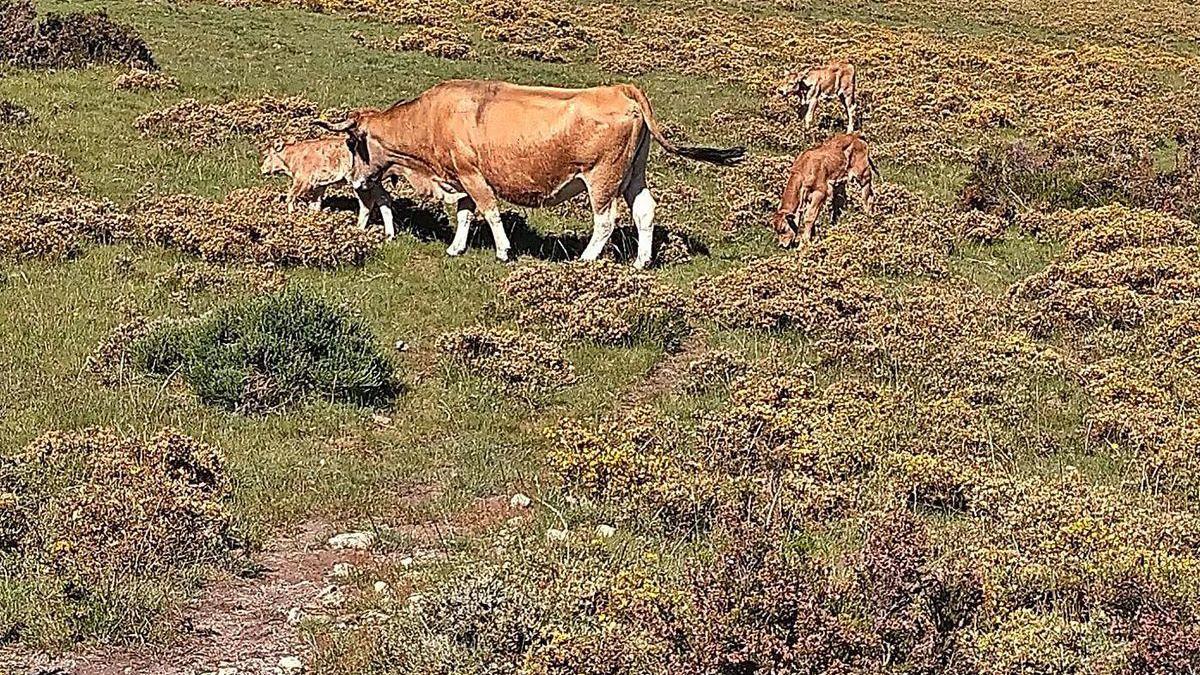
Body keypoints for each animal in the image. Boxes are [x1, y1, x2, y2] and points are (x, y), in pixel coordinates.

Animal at [259, 133, 398, 236]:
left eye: (266, 155)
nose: (262, 169)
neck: (294, 157)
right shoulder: (319, 185)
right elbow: (315, 204)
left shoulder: (303, 181)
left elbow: (290, 197)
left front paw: (291, 215)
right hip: (373, 182)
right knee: (382, 198)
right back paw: (387, 235)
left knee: (367, 202)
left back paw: (359, 229)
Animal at [314, 78, 744, 265]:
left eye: (352, 142)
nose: (354, 181)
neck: (433, 117)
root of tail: (620, 89)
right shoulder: (459, 178)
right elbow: (466, 215)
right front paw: (456, 247)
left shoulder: (473, 175)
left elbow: (489, 212)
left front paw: (504, 251)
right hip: (633, 175)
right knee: (644, 212)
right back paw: (641, 261)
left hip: (602, 179)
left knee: (605, 221)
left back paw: (585, 259)